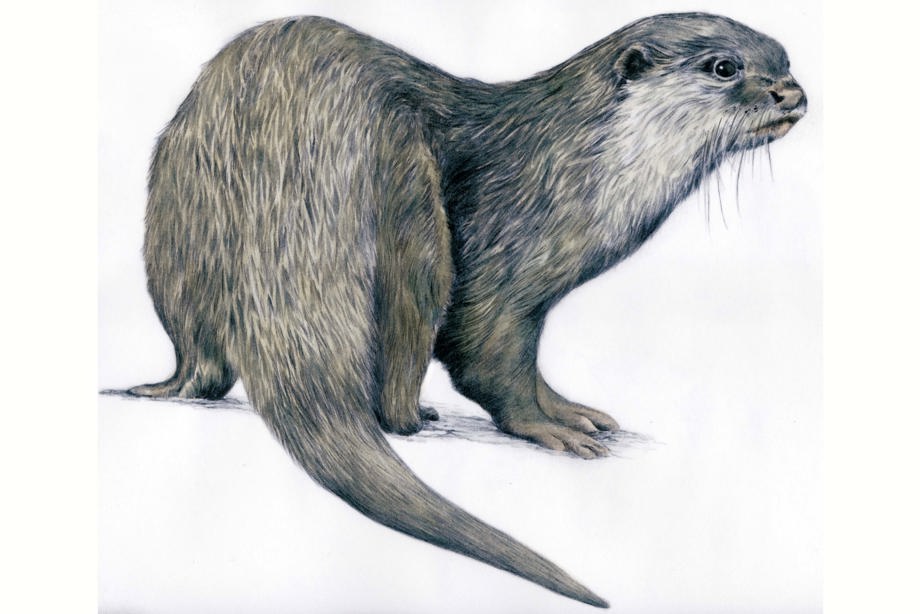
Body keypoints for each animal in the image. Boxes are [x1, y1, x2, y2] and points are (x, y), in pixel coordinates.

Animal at [129, 12, 806, 608]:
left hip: (177, 221)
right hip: (411, 207)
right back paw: (412, 415)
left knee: (201, 363)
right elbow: (487, 355)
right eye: (724, 67)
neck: (579, 161)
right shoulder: (506, 253)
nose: (792, 94)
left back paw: (164, 387)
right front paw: (550, 429)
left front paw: (574, 412)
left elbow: (526, 370)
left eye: (785, 61)